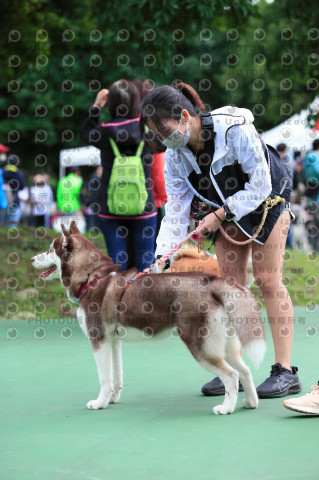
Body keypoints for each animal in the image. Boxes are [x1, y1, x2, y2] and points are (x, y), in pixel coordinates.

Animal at [31, 220, 268, 412]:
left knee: (232, 375)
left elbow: (104, 378)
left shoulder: (98, 339)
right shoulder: (113, 341)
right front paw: (112, 399)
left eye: (50, 249)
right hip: (223, 344)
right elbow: (116, 375)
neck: (93, 278)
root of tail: (211, 282)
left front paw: (99, 403)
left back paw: (226, 408)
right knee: (245, 370)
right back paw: (250, 402)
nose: (32, 258)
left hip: (201, 346)